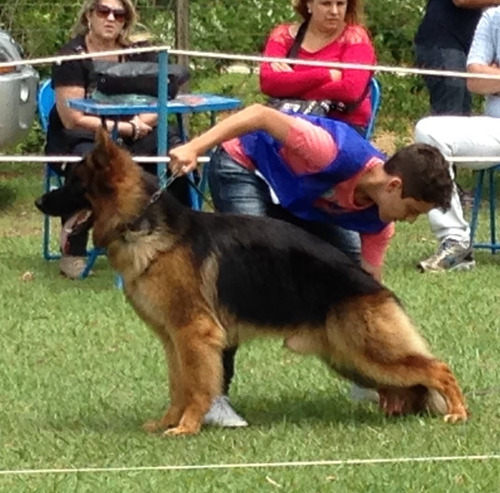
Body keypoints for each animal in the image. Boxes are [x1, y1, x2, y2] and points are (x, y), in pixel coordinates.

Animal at [71, 128, 468, 434]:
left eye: (73, 183)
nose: (51, 201)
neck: (142, 223)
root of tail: (375, 287)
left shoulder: (194, 335)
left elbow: (196, 386)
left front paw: (187, 426)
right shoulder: (174, 340)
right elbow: (178, 385)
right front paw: (170, 421)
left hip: (368, 352)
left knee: (439, 368)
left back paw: (458, 411)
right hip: (350, 357)